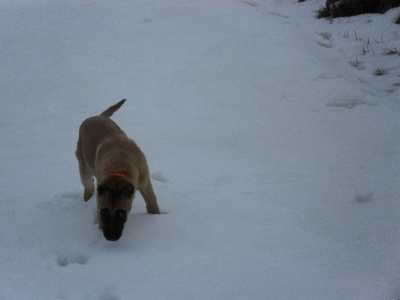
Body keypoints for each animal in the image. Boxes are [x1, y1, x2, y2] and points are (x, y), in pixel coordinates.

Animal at [75, 99, 159, 240]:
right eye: (103, 212)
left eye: (121, 213)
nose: (110, 237)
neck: (119, 169)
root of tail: (97, 116)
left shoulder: (145, 183)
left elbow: (152, 203)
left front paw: (156, 217)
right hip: (83, 166)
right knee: (88, 186)